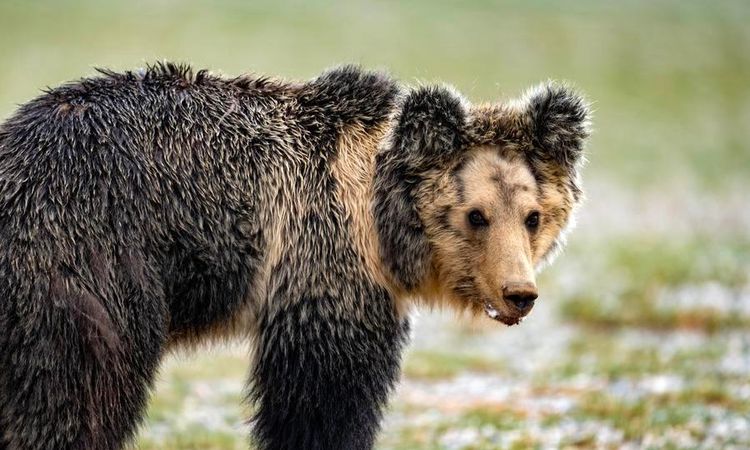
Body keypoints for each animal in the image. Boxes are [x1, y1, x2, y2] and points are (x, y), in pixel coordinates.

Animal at [0, 63, 590, 450]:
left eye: (532, 215)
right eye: (476, 215)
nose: (519, 293)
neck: (375, 219)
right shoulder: (322, 264)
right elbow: (322, 396)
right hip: (88, 267)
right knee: (73, 398)